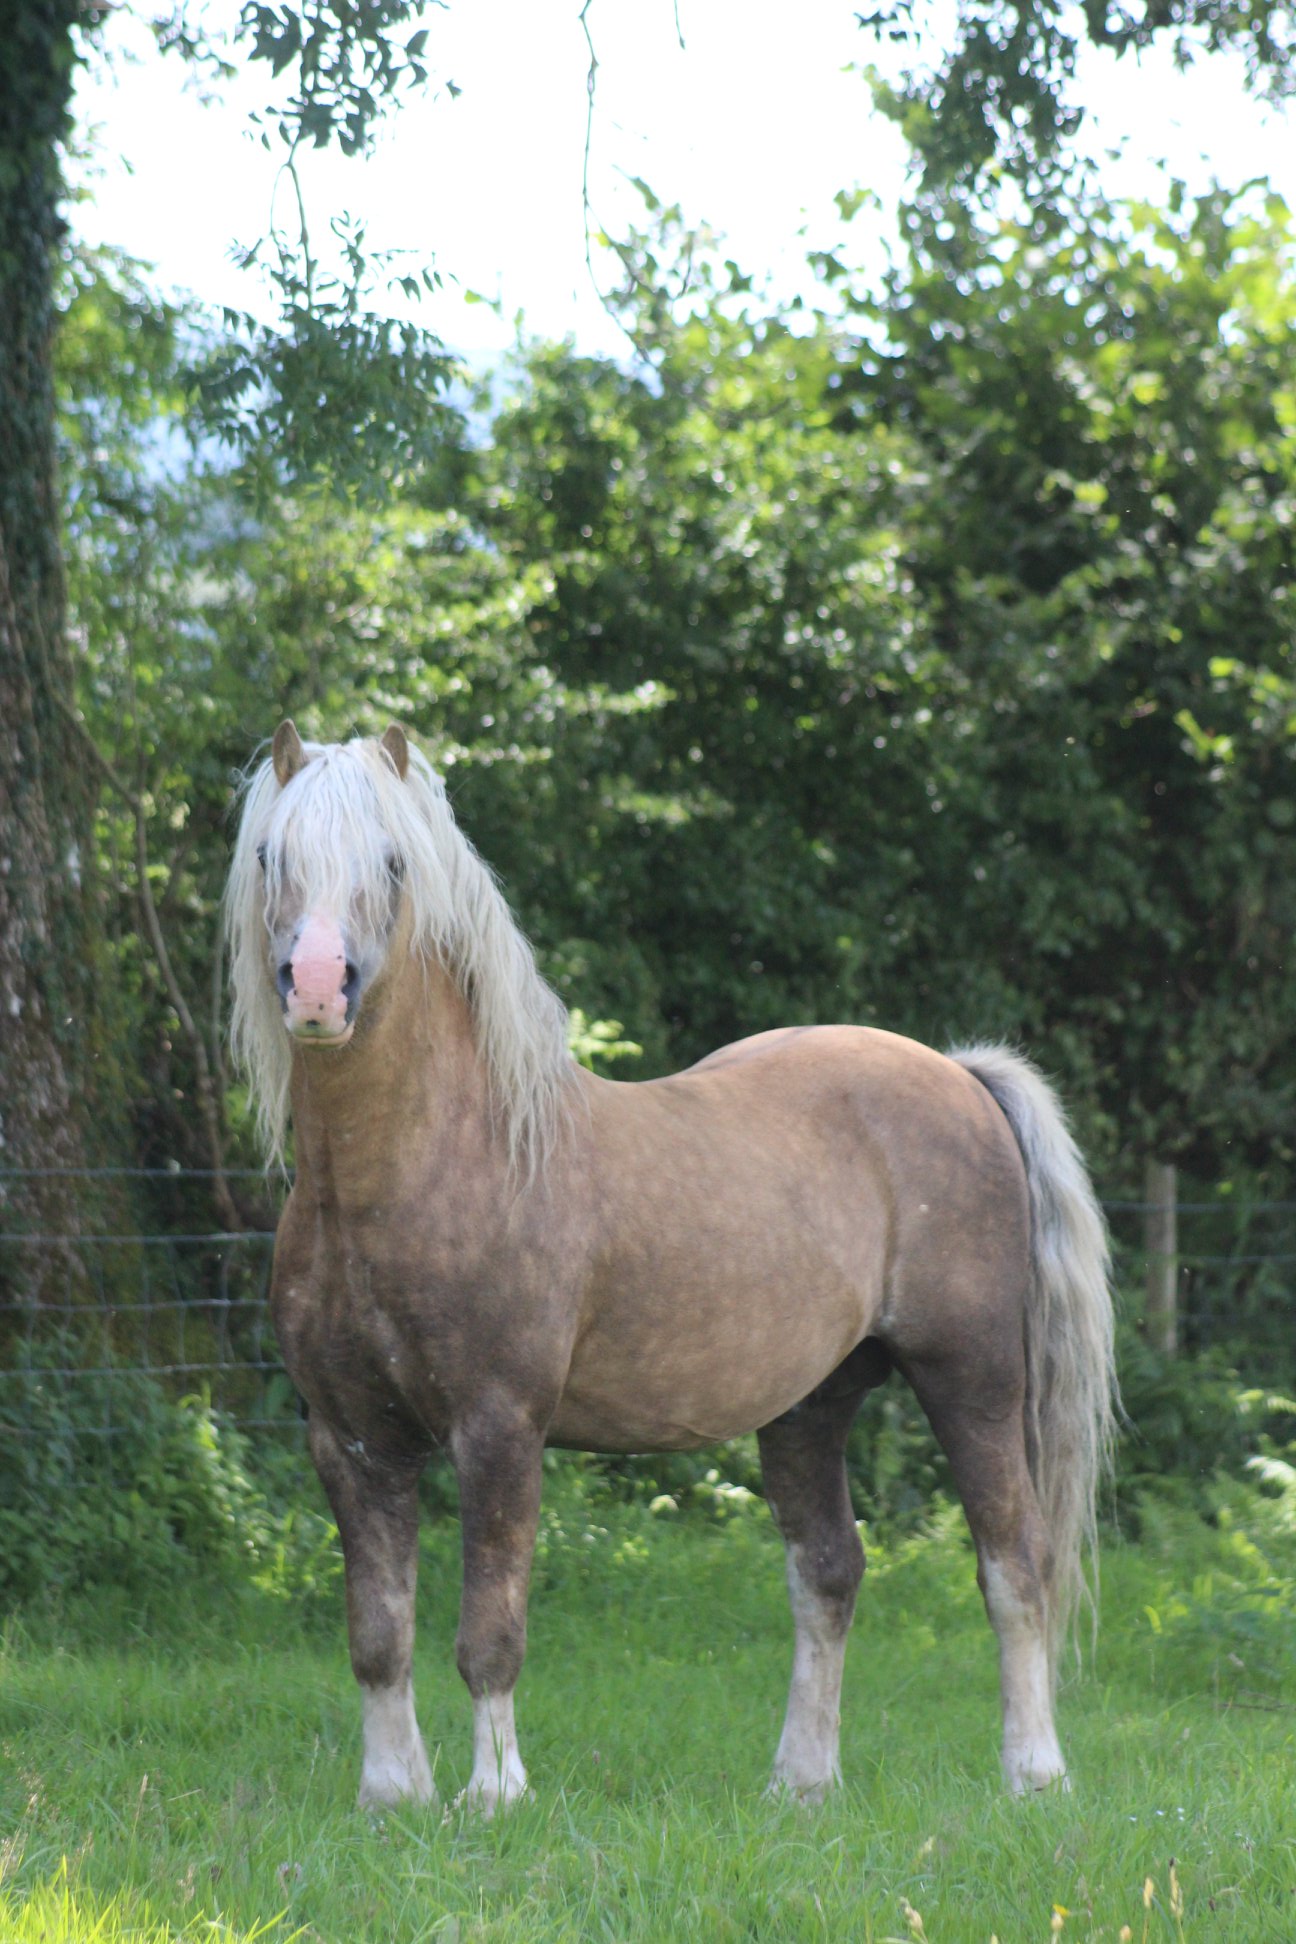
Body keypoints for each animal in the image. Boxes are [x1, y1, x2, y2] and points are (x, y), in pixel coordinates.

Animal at [225, 720, 1117, 1815]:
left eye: (393, 862)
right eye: (273, 855)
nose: (317, 988)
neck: (428, 1167)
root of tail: (957, 1072)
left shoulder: (498, 1428)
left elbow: (489, 1636)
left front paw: (495, 1794)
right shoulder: (351, 1441)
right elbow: (378, 1637)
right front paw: (393, 1795)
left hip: (974, 1381)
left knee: (1014, 1564)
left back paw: (1034, 1772)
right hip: (809, 1404)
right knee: (828, 1573)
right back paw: (800, 1783)